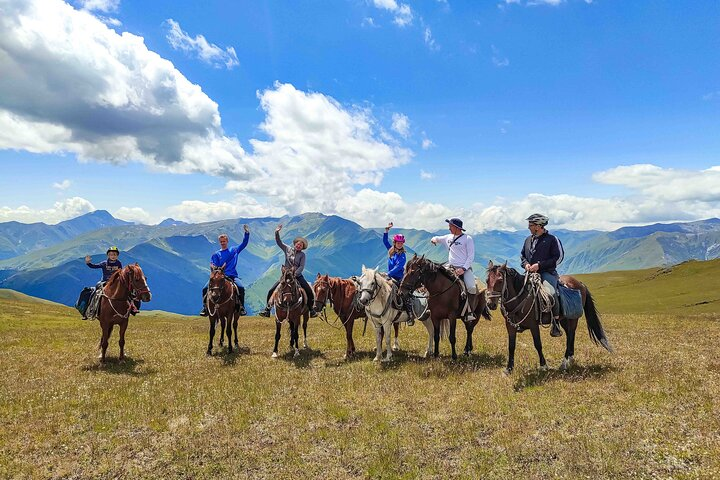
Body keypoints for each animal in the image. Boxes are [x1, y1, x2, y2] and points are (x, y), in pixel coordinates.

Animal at [484, 260, 612, 374]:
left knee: (570, 335)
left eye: (500, 280)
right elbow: (511, 346)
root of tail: (580, 284)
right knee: (570, 335)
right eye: (487, 280)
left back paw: (565, 363)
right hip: (564, 319)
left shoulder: (533, 325)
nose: (490, 304)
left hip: (572, 319)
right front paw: (509, 369)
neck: (520, 299)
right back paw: (570, 359)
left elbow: (538, 344)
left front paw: (543, 366)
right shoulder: (510, 326)